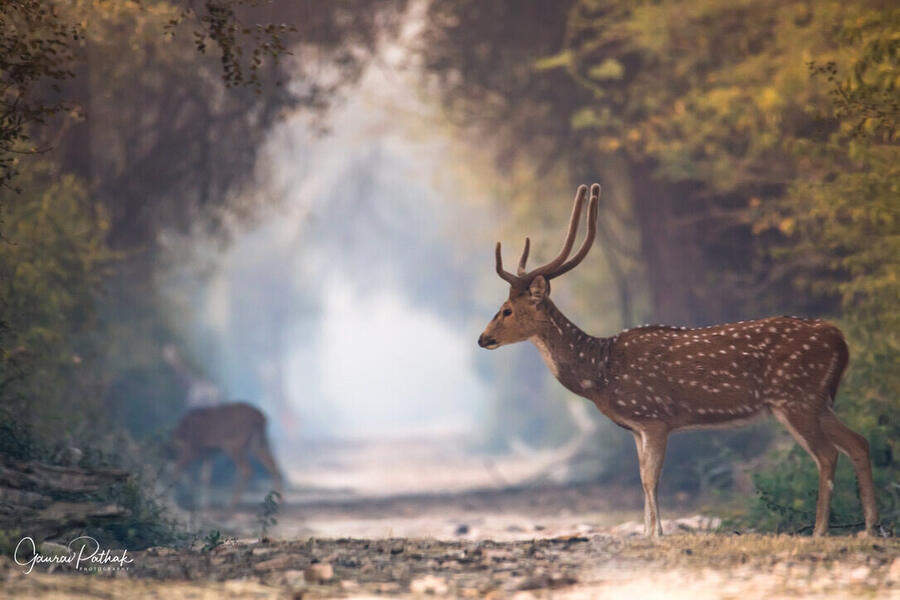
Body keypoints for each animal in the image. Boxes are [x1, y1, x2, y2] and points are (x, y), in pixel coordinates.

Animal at [478, 183, 879, 538]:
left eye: (507, 309)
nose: (483, 339)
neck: (601, 371)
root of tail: (839, 338)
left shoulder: (654, 417)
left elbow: (649, 478)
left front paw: (658, 534)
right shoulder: (636, 427)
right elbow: (642, 476)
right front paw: (647, 533)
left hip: (795, 396)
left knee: (827, 454)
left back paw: (821, 530)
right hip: (818, 399)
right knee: (859, 441)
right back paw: (871, 527)